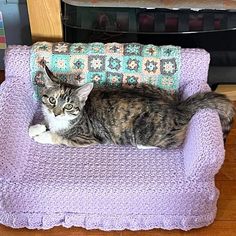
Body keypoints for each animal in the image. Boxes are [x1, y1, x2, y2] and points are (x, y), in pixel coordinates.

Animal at [28, 64, 235, 148]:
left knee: (171, 143)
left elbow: (60, 137)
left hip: (145, 130)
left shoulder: (88, 137)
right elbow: (47, 124)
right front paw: (36, 127)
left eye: (69, 106)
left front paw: (44, 136)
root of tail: (178, 106)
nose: (56, 113)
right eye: (52, 100)